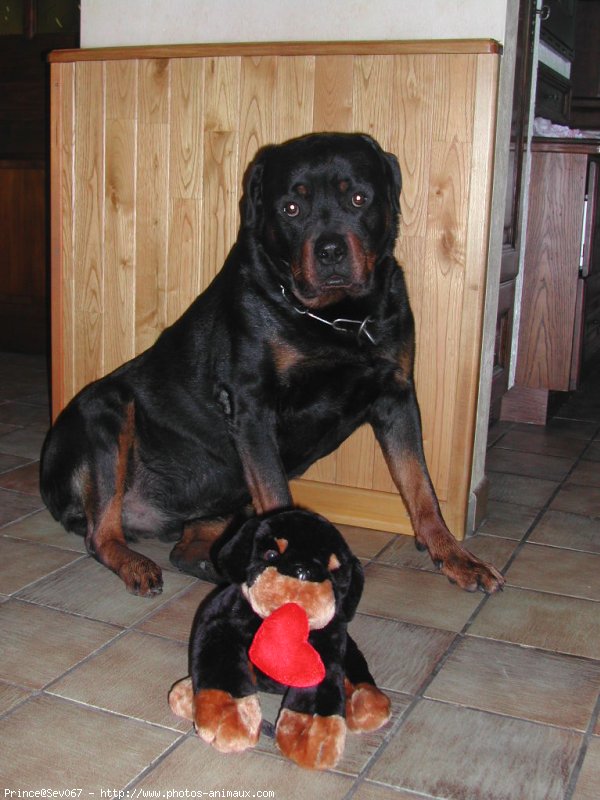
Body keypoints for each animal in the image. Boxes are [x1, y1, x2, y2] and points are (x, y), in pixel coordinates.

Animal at [39, 133, 504, 592]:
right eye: (291, 208)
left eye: (358, 198)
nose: (330, 250)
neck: (336, 318)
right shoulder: (252, 407)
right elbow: (279, 496)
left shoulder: (397, 395)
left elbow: (421, 486)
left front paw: (456, 556)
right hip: (107, 407)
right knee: (101, 534)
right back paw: (138, 564)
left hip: (225, 497)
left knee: (185, 549)